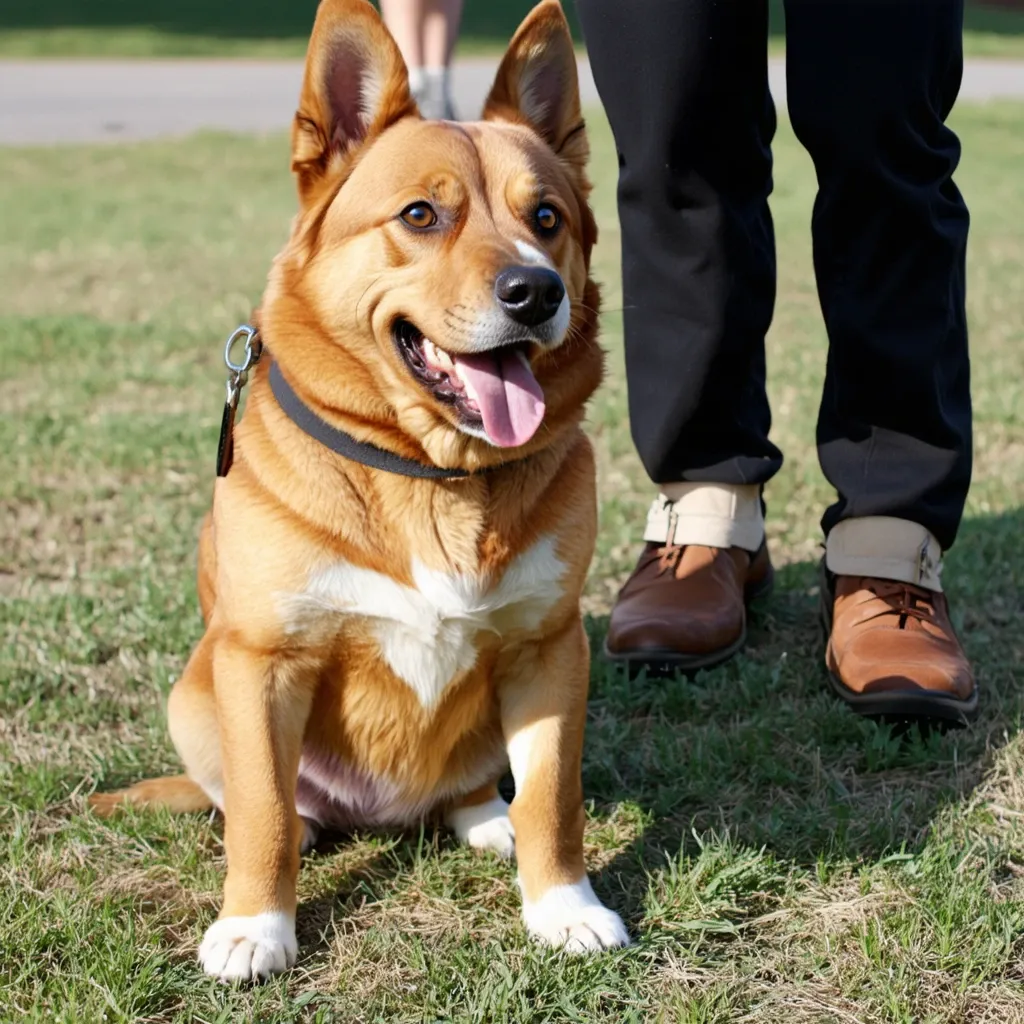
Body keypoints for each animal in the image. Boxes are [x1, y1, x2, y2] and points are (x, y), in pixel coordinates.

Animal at [90, 0, 630, 978]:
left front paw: (565, 906)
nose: (534, 292)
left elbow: (553, 799)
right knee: (271, 804)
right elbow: (261, 812)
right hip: (195, 694)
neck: (432, 472)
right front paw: (255, 926)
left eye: (547, 217)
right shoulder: (262, 661)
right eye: (420, 214)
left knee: (469, 788)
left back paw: (481, 817)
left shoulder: (550, 649)